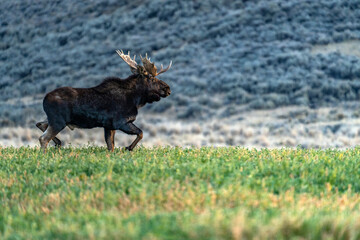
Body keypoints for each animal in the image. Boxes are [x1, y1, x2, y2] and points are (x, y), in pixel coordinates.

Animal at [36, 50, 172, 152]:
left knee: (40, 124)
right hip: (58, 121)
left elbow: (110, 146)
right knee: (43, 138)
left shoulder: (108, 126)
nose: (168, 89)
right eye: (151, 78)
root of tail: (44, 99)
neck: (135, 99)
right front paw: (128, 148)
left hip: (53, 119)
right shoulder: (121, 122)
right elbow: (141, 133)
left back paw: (58, 143)